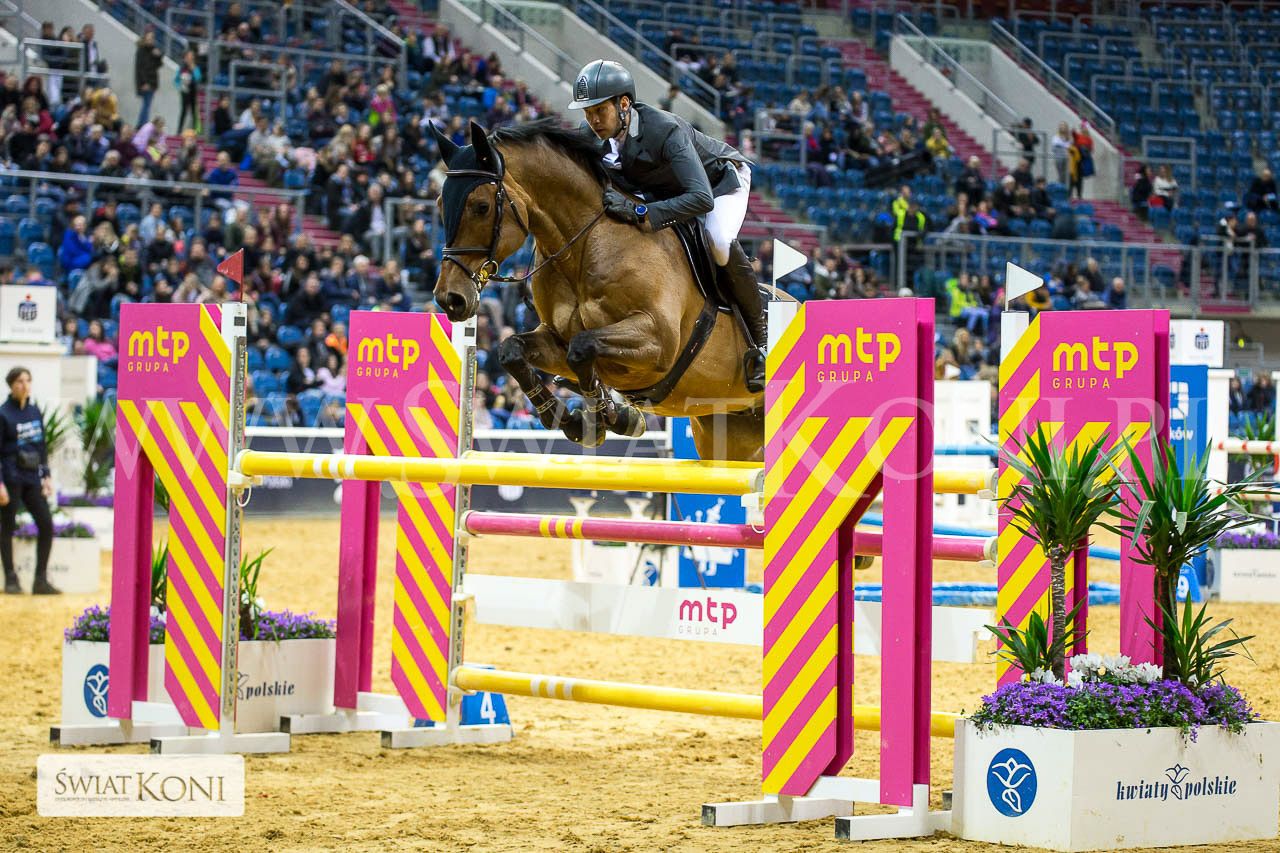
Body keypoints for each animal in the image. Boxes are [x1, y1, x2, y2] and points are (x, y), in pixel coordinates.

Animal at [430, 119, 769, 463]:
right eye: (440, 204)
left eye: (481, 207)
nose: (450, 299)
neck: (582, 246)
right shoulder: (556, 340)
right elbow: (513, 350)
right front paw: (576, 419)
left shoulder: (658, 342)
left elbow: (582, 347)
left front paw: (610, 417)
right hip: (726, 431)